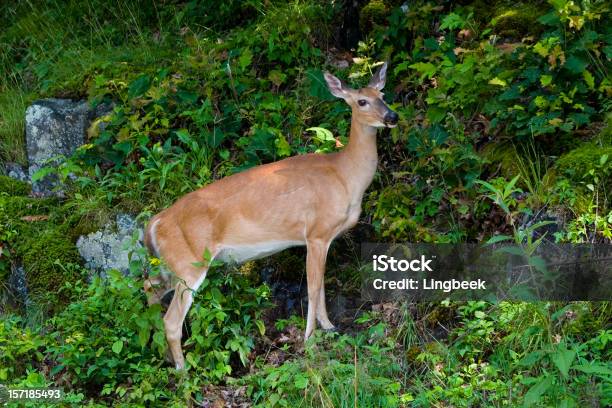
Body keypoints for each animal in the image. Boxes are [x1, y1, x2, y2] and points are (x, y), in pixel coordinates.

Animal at [142, 61, 396, 370]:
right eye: (361, 101)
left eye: (382, 94)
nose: (392, 116)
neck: (345, 176)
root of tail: (153, 224)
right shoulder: (316, 233)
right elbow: (312, 287)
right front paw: (309, 340)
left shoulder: (324, 238)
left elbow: (321, 284)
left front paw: (328, 326)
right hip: (190, 262)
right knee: (171, 320)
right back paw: (182, 370)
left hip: (171, 264)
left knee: (150, 287)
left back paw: (162, 355)